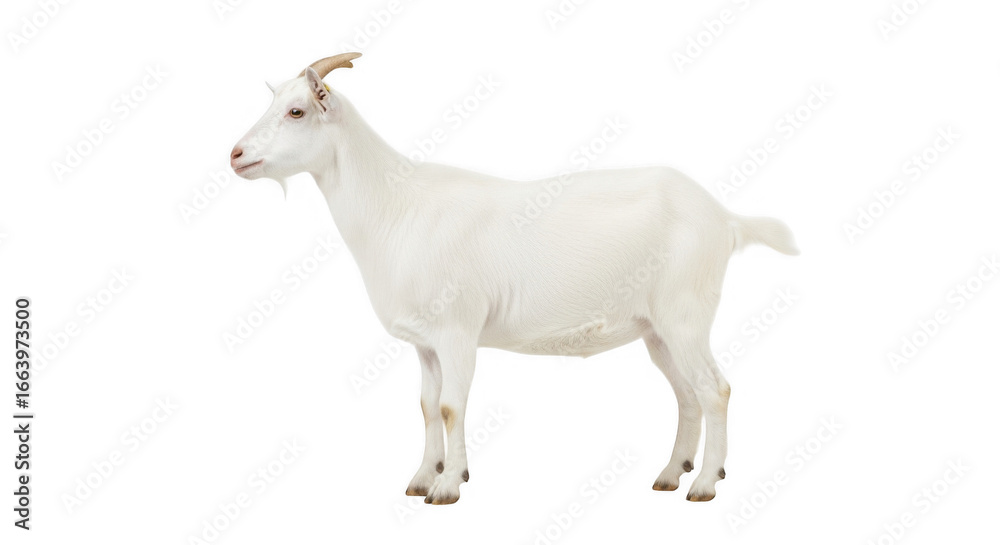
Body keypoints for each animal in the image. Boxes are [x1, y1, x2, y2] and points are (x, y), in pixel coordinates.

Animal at [230, 53, 798, 504]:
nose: (235, 154)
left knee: (715, 390)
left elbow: (451, 406)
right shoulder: (425, 343)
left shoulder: (458, 331)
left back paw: (704, 484)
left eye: (297, 110)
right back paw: (670, 474)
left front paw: (449, 486)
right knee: (687, 394)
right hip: (656, 329)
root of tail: (724, 218)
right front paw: (421, 478)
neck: (396, 208)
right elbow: (425, 407)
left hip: (686, 314)